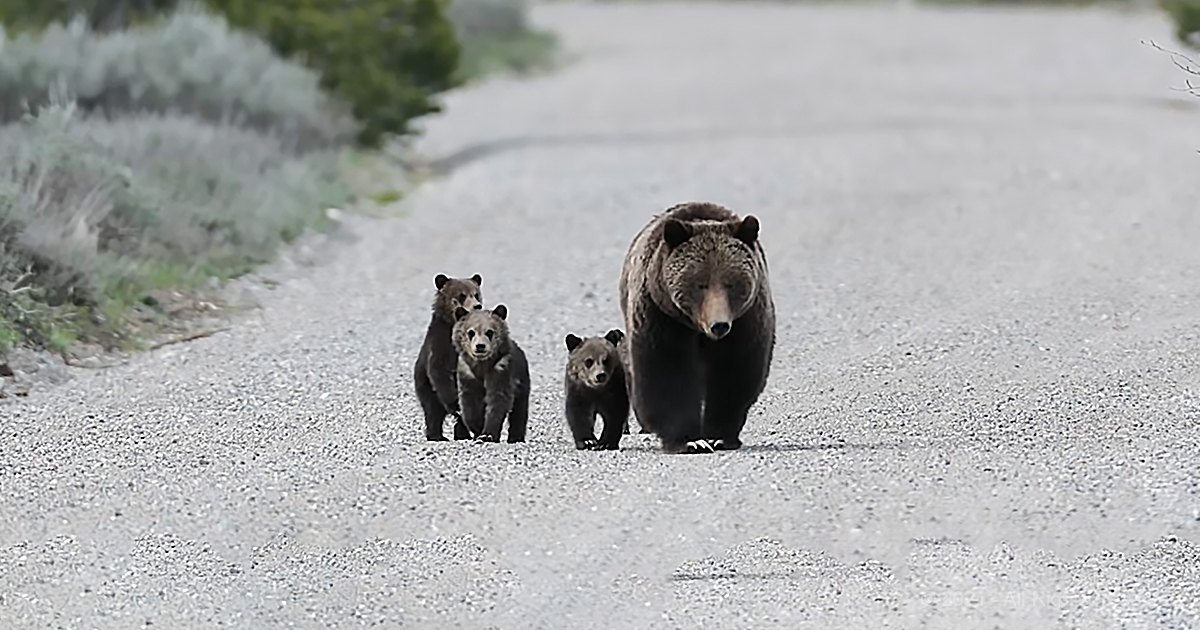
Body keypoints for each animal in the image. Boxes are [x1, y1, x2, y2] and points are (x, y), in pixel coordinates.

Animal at [413, 273, 484, 441]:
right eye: (462, 295)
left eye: (476, 294)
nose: (477, 305)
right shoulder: (441, 344)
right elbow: (440, 370)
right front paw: (455, 404)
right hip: (425, 387)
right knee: (433, 411)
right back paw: (437, 435)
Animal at [452, 304, 531, 443]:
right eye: (471, 332)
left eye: (489, 332)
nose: (480, 346)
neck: (482, 365)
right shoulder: (467, 373)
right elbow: (469, 404)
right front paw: (478, 429)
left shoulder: (500, 370)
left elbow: (498, 400)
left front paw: (487, 434)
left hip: (522, 382)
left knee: (519, 411)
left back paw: (516, 437)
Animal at [618, 201, 776, 454]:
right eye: (700, 284)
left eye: (731, 283)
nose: (719, 325)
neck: (698, 329)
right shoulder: (662, 318)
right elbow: (668, 373)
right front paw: (689, 440)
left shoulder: (745, 322)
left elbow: (733, 374)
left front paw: (719, 436)